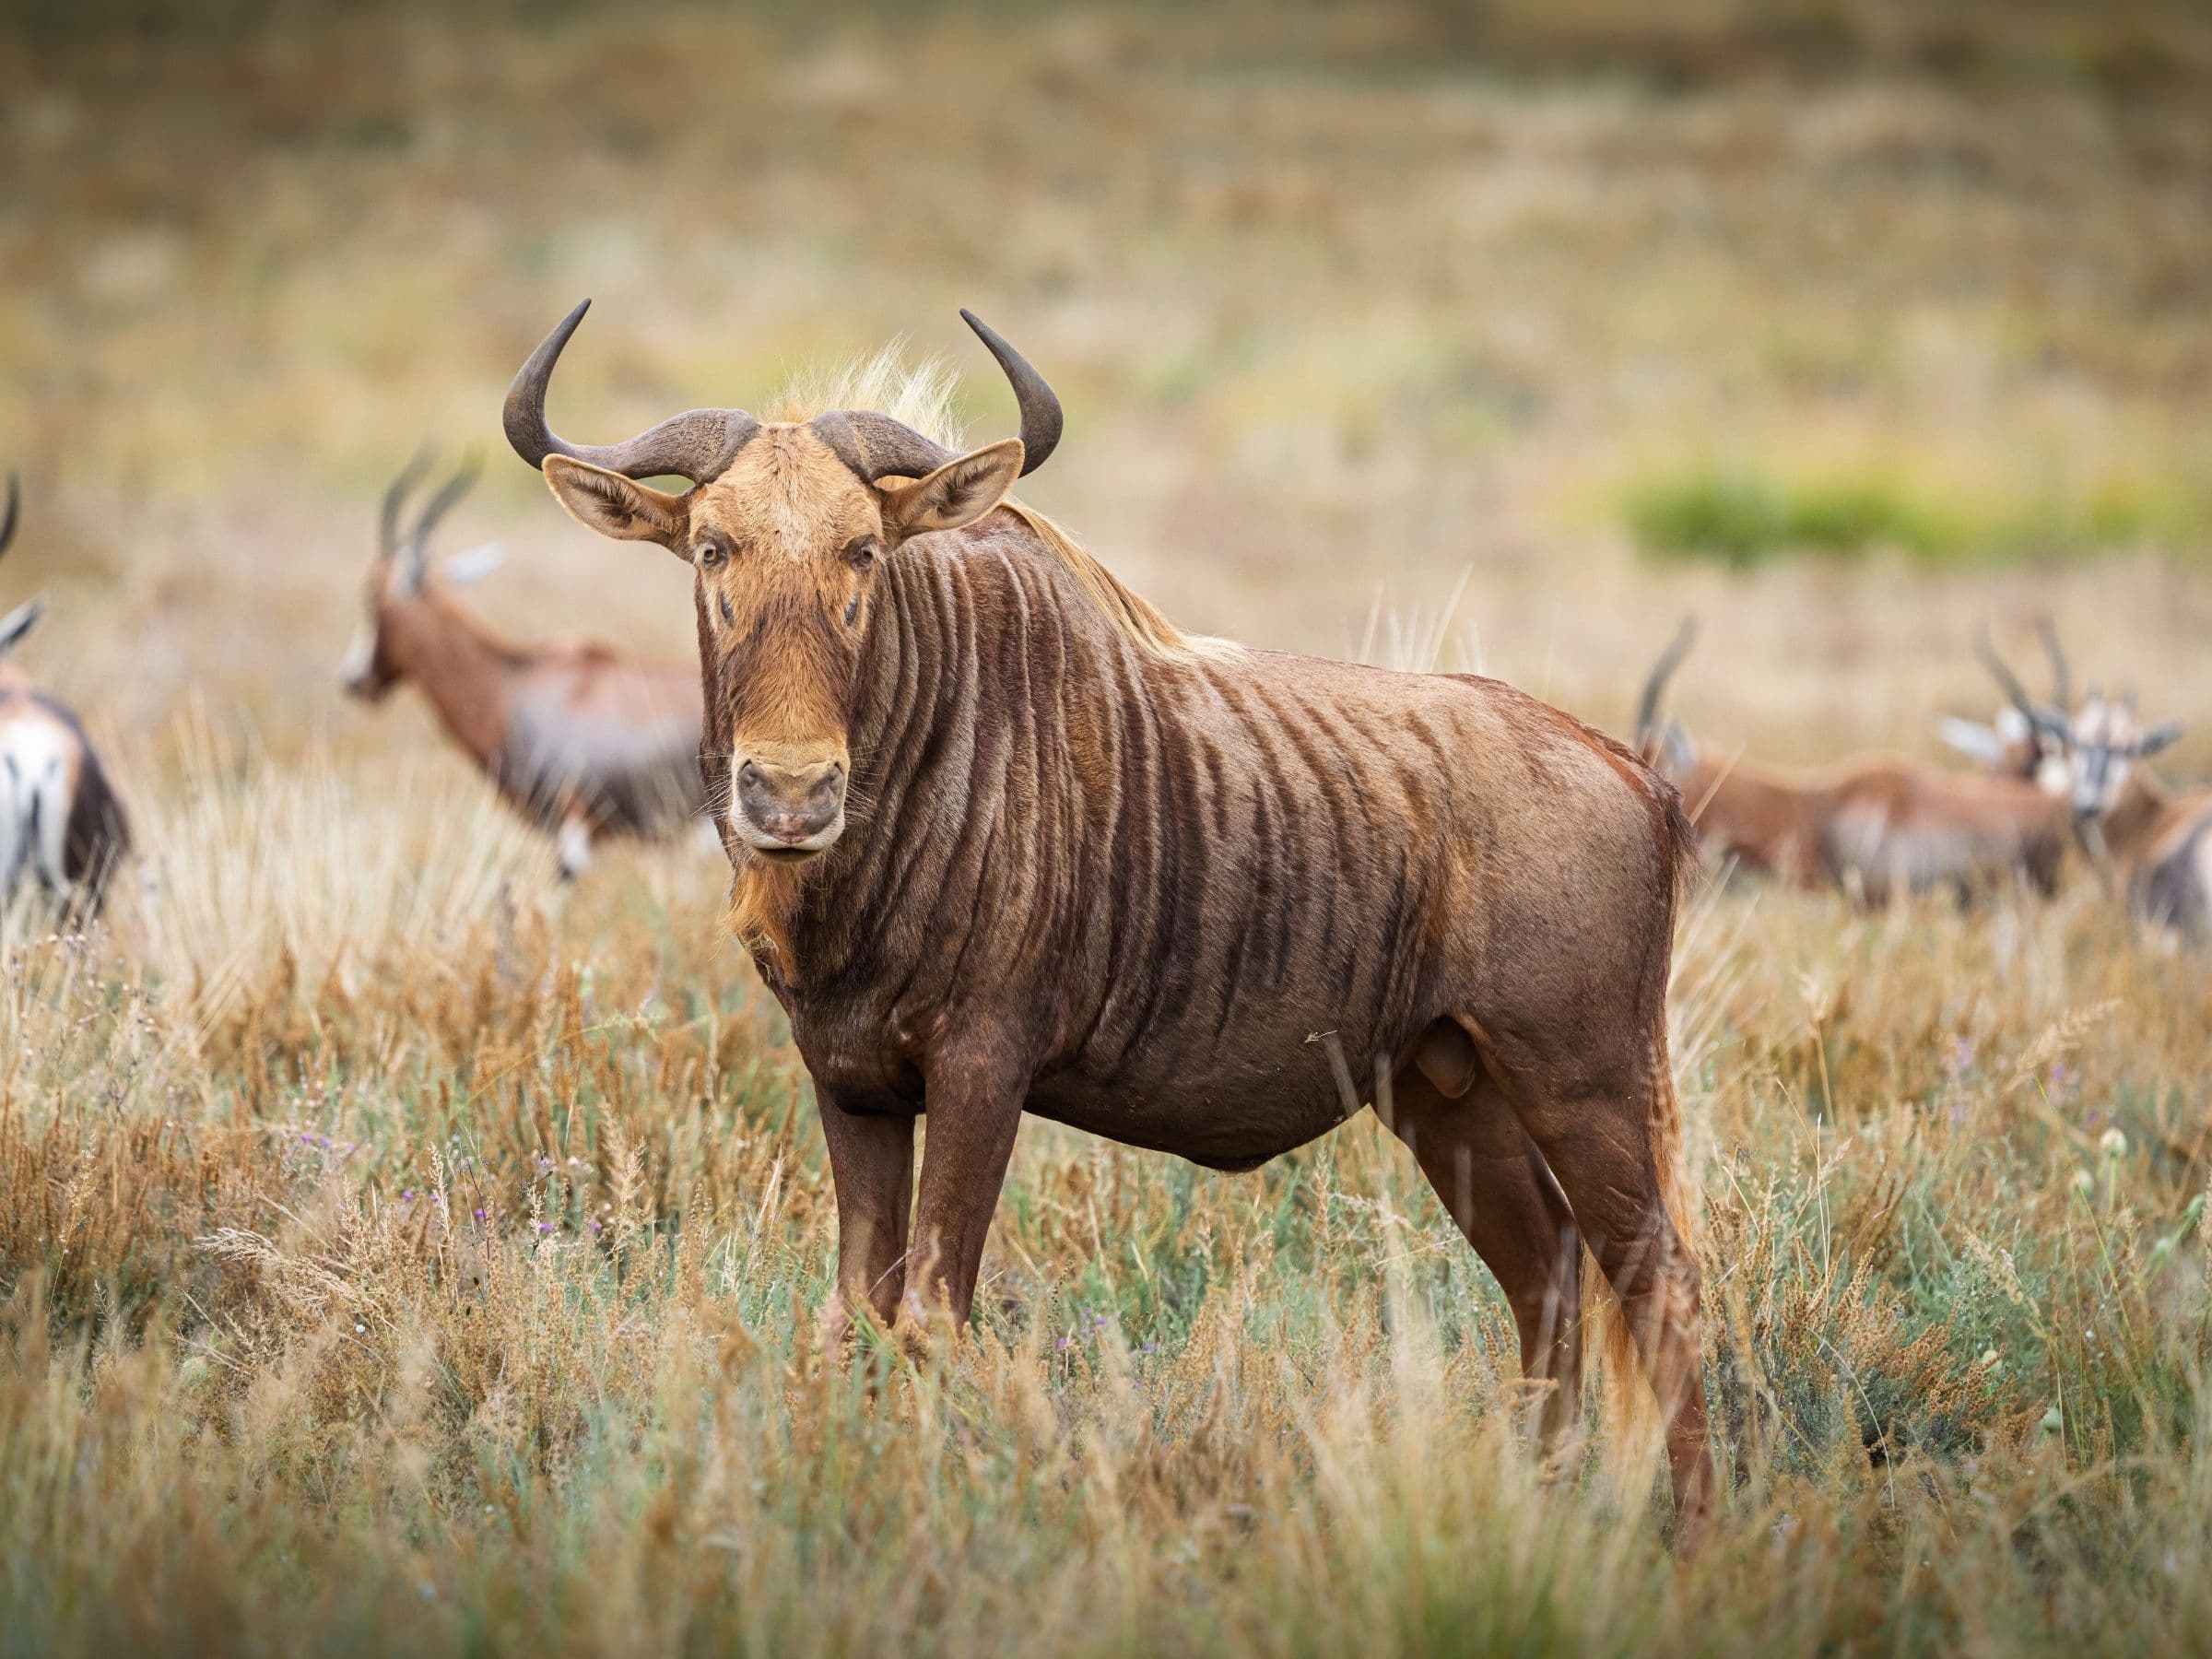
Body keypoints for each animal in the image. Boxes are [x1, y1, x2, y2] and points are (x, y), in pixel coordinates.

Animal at [502, 299, 1720, 1540]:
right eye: (712, 547)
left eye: (864, 550)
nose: (790, 796)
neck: (925, 750)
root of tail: (1628, 771)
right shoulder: (850, 1083)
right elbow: (860, 1316)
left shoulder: (982, 1068)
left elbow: (933, 1314)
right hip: (1449, 1094)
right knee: (1548, 1280)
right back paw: (1543, 1512)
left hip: (1585, 1081)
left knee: (1661, 1285)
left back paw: (1699, 1539)